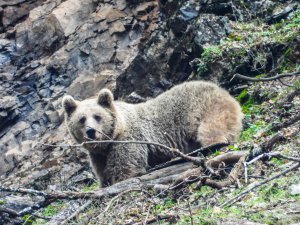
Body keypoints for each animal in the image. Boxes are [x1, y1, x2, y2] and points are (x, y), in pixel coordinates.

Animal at [62, 80, 243, 185]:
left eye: (97, 116)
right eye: (81, 119)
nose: (91, 131)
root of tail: (224, 91)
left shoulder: (128, 140)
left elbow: (125, 168)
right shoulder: (98, 156)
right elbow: (103, 173)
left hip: (204, 108)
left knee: (211, 129)